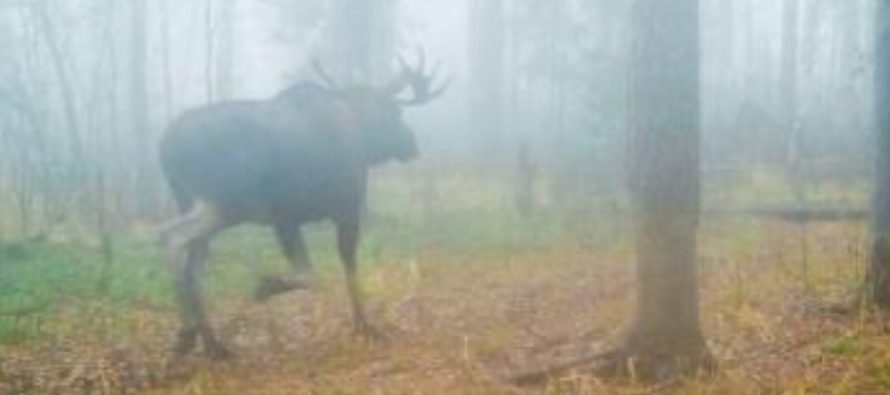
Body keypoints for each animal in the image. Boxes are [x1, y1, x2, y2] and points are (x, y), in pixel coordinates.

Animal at [160, 54, 448, 360]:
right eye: (395, 112)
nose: (412, 145)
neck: (359, 135)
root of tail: (164, 146)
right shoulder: (330, 211)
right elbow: (331, 270)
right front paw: (364, 325)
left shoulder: (289, 219)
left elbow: (316, 271)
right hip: (223, 204)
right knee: (171, 237)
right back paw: (188, 332)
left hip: (194, 203)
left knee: (193, 266)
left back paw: (211, 343)